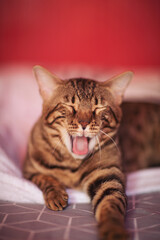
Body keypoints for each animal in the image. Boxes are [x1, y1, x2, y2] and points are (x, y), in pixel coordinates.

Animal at [22, 65, 160, 240]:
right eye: (70, 105)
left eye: (98, 108)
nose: (84, 123)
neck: (72, 164)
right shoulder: (29, 169)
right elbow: (45, 178)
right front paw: (56, 195)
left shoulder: (107, 176)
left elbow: (111, 204)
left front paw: (113, 228)